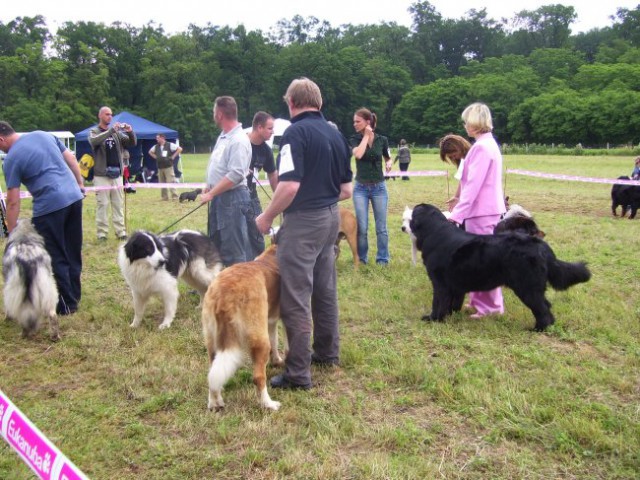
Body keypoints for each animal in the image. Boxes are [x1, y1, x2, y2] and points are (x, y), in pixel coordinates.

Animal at [202, 246, 284, 410]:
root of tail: (224, 295)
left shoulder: (270, 322)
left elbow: (275, 341)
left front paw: (277, 360)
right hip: (259, 339)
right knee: (258, 377)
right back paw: (269, 404)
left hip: (211, 339)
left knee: (212, 373)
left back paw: (214, 403)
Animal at [410, 202, 592, 330]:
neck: (434, 232)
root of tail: (540, 245)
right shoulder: (455, 285)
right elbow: (452, 303)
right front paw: (449, 316)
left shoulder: (440, 283)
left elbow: (438, 302)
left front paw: (433, 318)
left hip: (527, 287)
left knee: (542, 308)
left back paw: (538, 329)